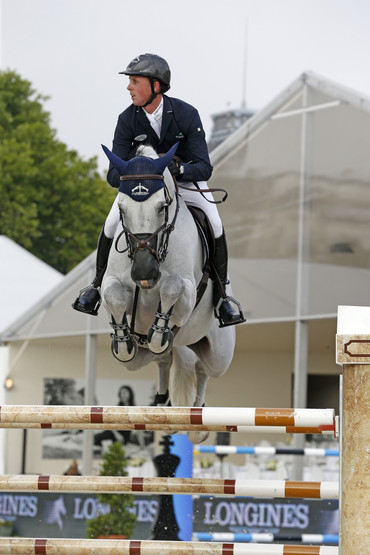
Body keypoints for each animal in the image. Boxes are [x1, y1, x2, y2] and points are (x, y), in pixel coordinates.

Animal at [101, 142, 234, 444]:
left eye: (162, 206)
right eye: (122, 209)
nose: (143, 271)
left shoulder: (186, 292)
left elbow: (173, 287)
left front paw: (160, 331)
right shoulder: (111, 283)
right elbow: (113, 296)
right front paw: (123, 340)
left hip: (219, 354)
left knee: (202, 368)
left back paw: (197, 419)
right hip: (141, 360)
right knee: (163, 358)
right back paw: (163, 403)